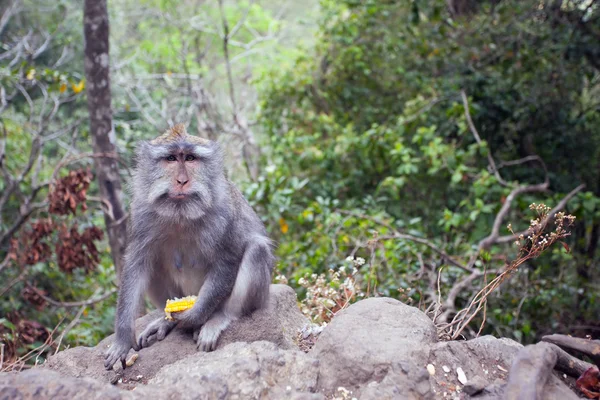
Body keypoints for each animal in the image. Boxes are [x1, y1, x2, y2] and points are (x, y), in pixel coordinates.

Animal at [103, 123, 274, 370]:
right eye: (172, 158)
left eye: (191, 158)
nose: (182, 181)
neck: (181, 212)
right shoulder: (140, 212)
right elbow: (137, 263)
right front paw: (122, 340)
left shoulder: (224, 213)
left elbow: (229, 258)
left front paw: (194, 316)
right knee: (153, 263)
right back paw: (167, 323)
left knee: (257, 250)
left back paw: (220, 317)